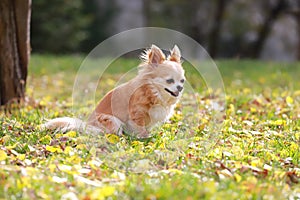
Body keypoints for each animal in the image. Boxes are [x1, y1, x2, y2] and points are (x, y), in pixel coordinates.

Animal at [43, 44, 185, 138]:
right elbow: (140, 128)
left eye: (182, 81)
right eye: (170, 81)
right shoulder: (137, 114)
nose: (180, 87)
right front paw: (145, 138)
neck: (155, 93)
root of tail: (87, 125)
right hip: (112, 120)